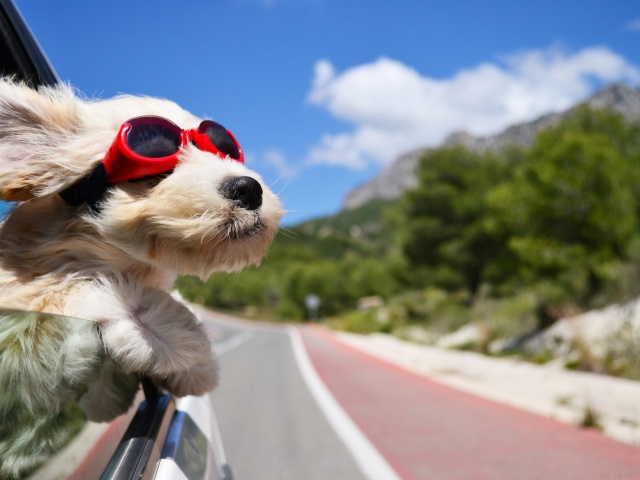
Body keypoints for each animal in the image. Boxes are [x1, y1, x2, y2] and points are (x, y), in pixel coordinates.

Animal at [0, 79, 282, 476]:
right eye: (154, 169)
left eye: (225, 150)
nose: (248, 187)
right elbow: (65, 291)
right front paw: (169, 333)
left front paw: (192, 365)